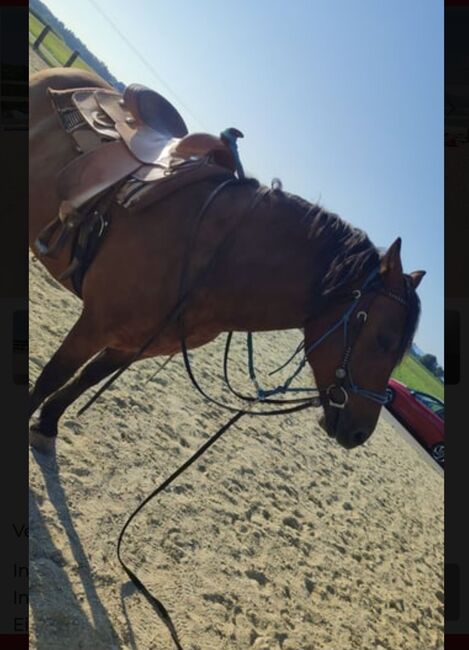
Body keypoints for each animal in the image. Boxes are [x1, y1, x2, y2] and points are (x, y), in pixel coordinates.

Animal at [29, 66, 424, 450]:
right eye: (384, 339)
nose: (359, 433)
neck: (215, 258)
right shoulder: (94, 326)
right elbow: (53, 377)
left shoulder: (129, 347)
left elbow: (83, 380)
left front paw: (47, 424)